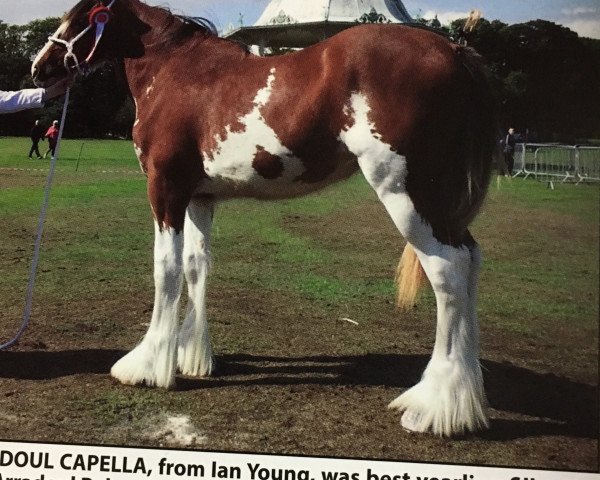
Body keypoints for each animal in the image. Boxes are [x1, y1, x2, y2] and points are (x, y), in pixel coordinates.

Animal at [31, 0, 496, 436]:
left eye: (81, 16)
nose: (40, 67)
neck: (175, 72)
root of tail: (454, 50)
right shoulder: (200, 197)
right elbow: (196, 267)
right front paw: (192, 357)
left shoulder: (165, 191)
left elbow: (166, 270)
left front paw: (146, 365)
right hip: (440, 204)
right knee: (471, 262)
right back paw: (464, 400)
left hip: (405, 194)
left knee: (448, 271)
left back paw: (433, 407)